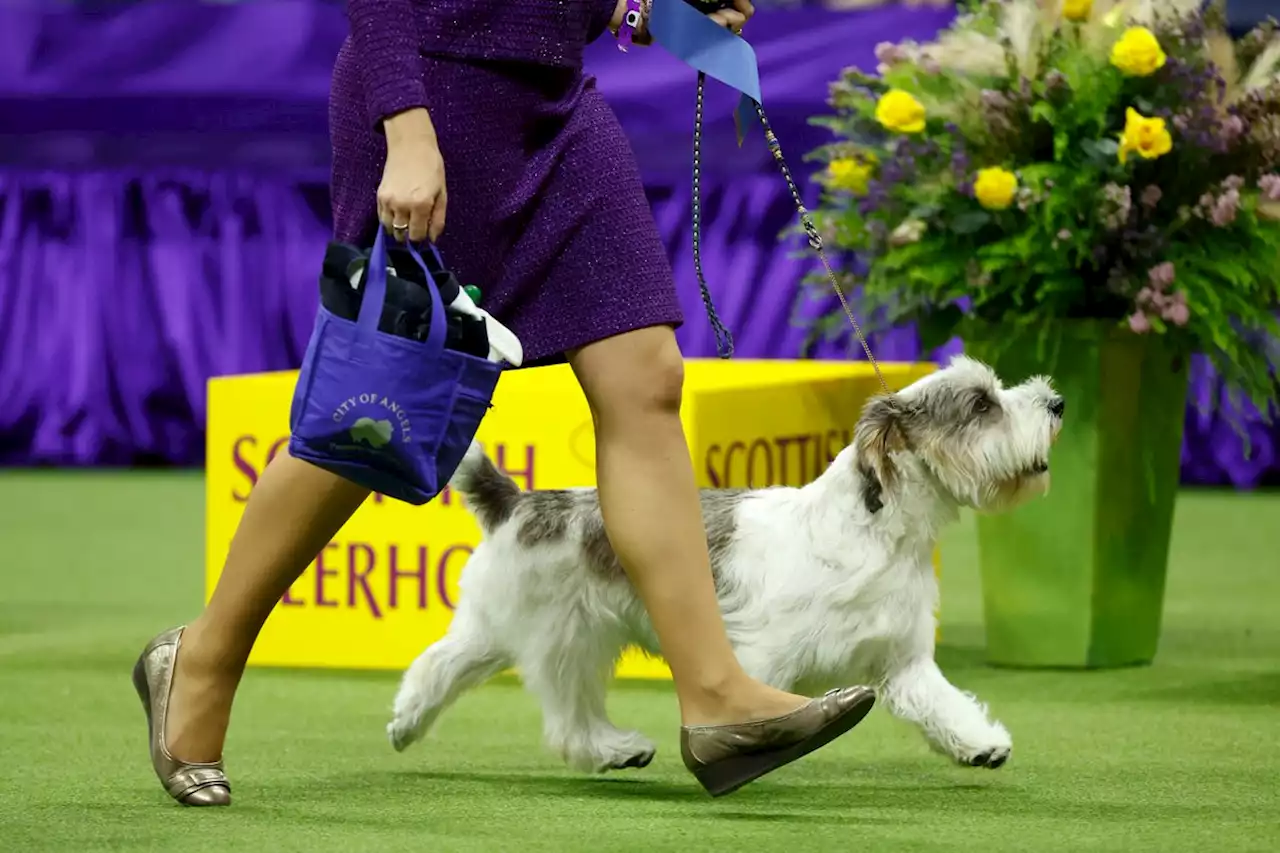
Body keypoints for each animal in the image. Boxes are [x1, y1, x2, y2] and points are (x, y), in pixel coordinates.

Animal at [386, 350, 1059, 768]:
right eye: (981, 405)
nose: (1054, 401)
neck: (876, 534)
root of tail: (520, 500)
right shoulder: (759, 659)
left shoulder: (903, 662)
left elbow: (943, 703)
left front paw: (980, 744)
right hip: (561, 639)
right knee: (552, 712)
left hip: (513, 632)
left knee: (446, 668)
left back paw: (413, 725)